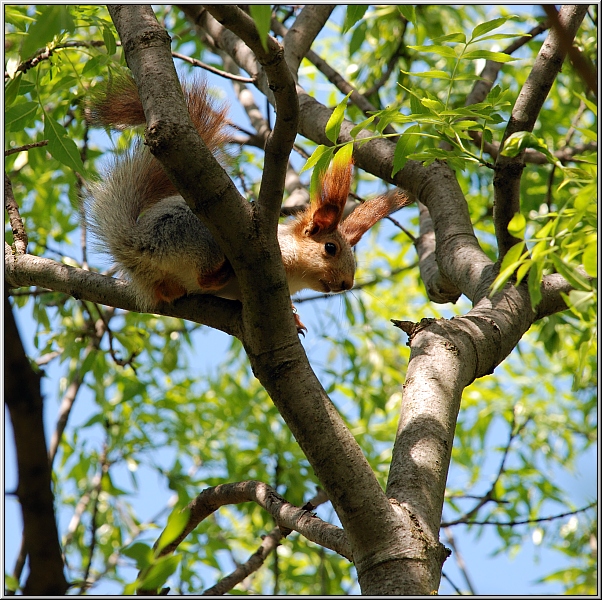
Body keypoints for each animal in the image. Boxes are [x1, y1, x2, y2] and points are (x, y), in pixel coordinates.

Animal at [84, 72, 410, 330]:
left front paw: (294, 319)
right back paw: (221, 271)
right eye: (330, 248)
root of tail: (133, 243)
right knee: (204, 278)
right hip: (196, 236)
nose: (347, 284)